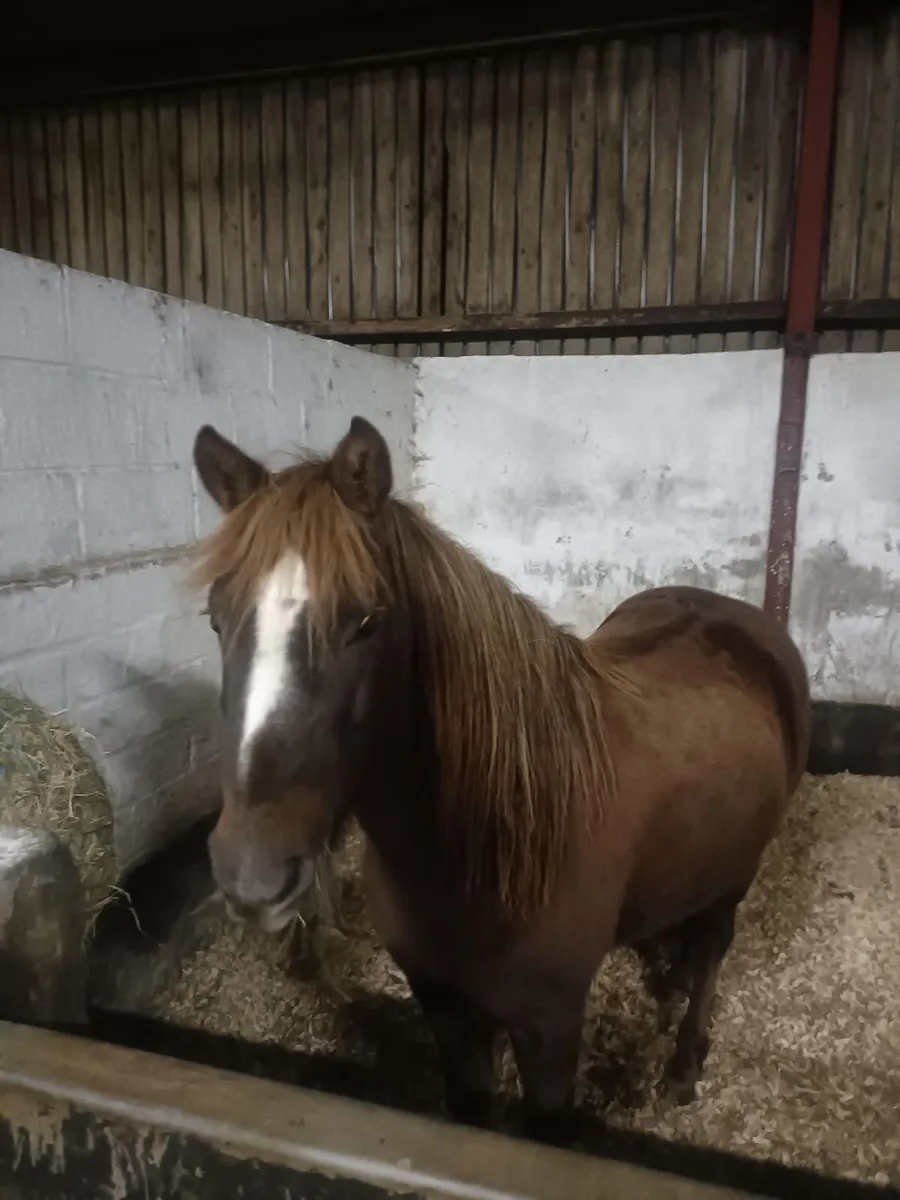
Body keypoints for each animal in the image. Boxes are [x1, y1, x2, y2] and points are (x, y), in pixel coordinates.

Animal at [190, 414, 810, 1142]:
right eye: (215, 619)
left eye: (365, 622)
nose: (251, 876)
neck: (483, 847)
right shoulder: (444, 1007)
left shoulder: (549, 1028)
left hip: (736, 878)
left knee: (713, 949)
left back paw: (685, 1062)